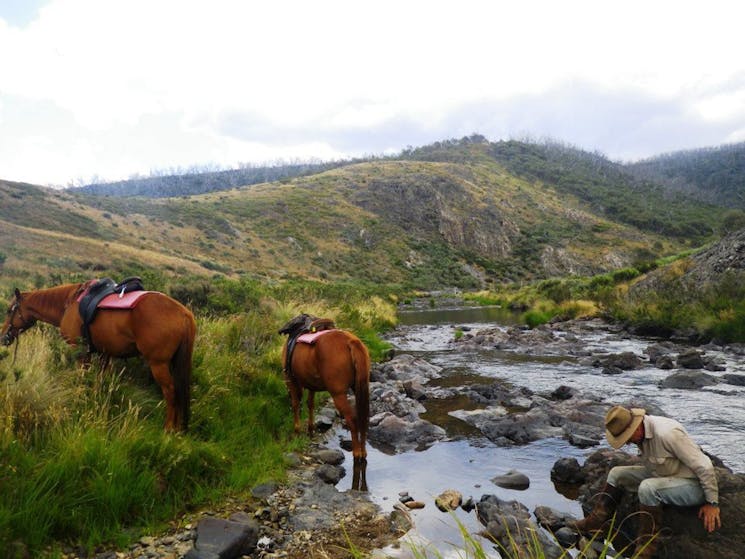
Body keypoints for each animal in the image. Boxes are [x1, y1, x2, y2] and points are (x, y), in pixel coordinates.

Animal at [0, 284, 198, 434]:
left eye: (9, 310)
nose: (3, 337)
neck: (68, 304)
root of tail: (185, 314)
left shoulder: (80, 351)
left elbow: (81, 379)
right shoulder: (104, 353)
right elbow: (98, 382)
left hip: (158, 364)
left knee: (171, 392)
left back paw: (169, 429)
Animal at [278, 316, 370, 464]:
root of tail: (351, 341)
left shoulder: (291, 380)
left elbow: (296, 404)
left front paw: (297, 431)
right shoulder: (311, 384)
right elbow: (310, 404)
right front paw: (310, 429)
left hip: (338, 394)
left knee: (352, 420)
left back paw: (357, 453)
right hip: (359, 388)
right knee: (363, 419)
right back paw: (363, 451)